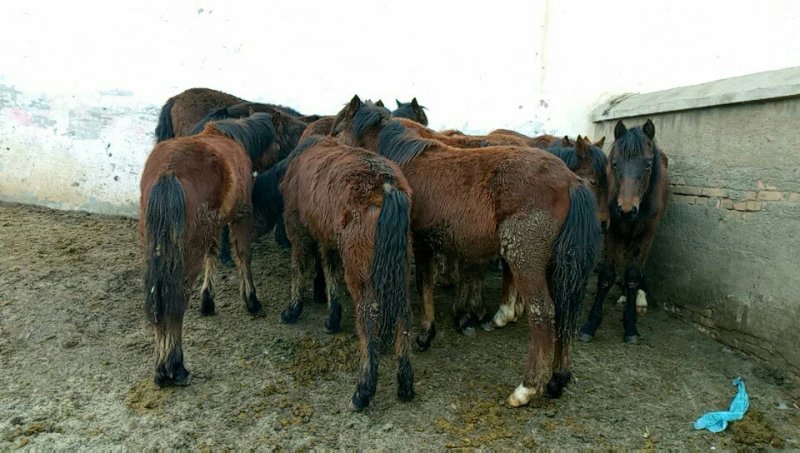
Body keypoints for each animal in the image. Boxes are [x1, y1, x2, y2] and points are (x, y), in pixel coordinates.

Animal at [140, 112, 288, 387]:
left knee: (159, 299)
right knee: (176, 300)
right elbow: (243, 256)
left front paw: (208, 301)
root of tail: (169, 172)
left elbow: (213, 255)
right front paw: (251, 301)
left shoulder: (212, 227)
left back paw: (161, 370)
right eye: (278, 141)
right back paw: (175, 367)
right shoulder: (241, 216)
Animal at [252, 135, 415, 411]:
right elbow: (329, 270)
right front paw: (332, 316)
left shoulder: (298, 227)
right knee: (403, 315)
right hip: (401, 266)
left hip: (360, 270)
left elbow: (299, 266)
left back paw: (363, 390)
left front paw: (293, 309)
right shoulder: (326, 235)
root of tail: (387, 188)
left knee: (368, 317)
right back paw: (405, 384)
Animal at [332, 96, 601, 406]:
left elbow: (424, 285)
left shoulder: (419, 244)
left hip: (526, 258)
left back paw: (527, 387)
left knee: (543, 314)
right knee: (566, 310)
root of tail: (571, 181)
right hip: (556, 265)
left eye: (337, 129)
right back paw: (558, 378)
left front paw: (425, 335)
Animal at [579, 119, 669, 344]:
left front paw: (631, 325)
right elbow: (606, 276)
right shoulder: (614, 231)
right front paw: (591, 323)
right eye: (615, 164)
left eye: (648, 164)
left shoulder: (646, 235)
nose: (626, 210)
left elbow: (633, 276)